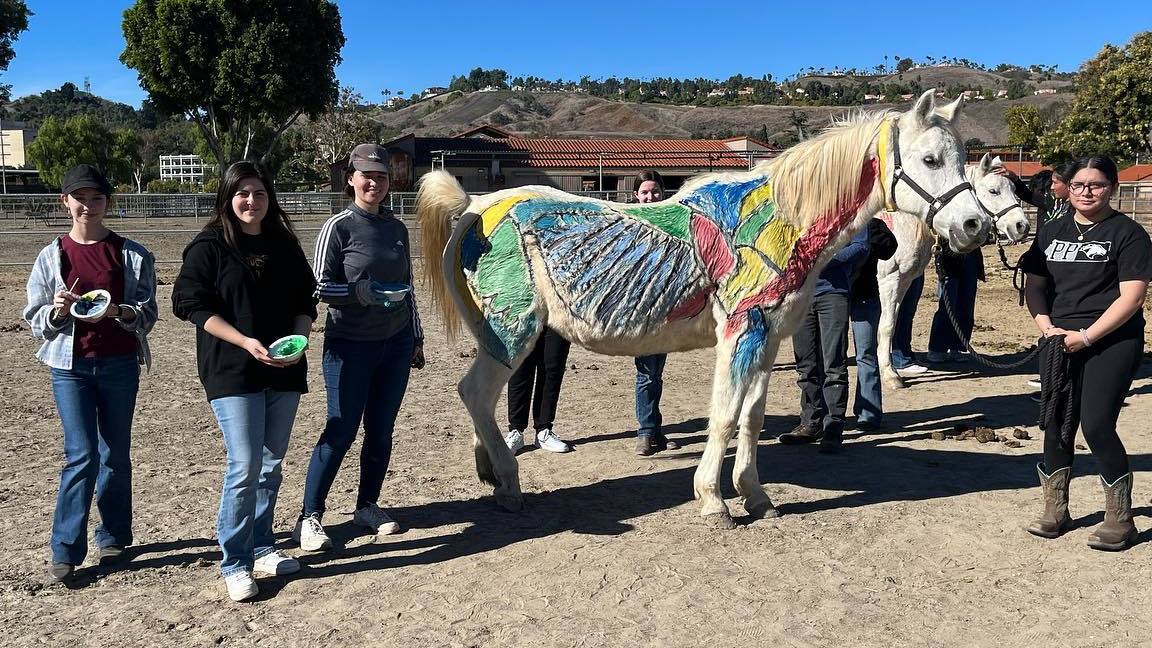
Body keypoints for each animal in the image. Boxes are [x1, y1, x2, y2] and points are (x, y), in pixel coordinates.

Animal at [419, 89, 986, 525]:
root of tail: (475, 206)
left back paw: (490, 472)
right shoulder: (740, 331)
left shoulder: (767, 337)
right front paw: (714, 501)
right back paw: (509, 484)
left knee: (480, 399)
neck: (782, 217)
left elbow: (751, 417)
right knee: (476, 393)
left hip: (498, 334)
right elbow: (724, 415)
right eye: (930, 160)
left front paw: (756, 496)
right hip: (513, 330)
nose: (974, 226)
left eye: (962, 161)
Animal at [875, 153, 1032, 385]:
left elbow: (894, 321)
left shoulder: (904, 280)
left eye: (1014, 190)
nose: (1022, 227)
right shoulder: (890, 279)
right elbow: (886, 325)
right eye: (993, 191)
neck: (904, 224)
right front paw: (890, 375)